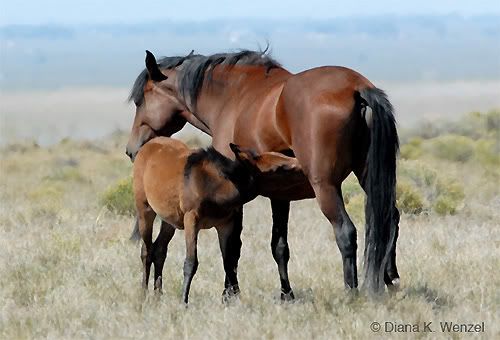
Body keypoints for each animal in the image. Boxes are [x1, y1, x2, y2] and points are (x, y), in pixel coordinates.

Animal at [132, 136, 300, 302]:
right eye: (280, 168)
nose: (298, 163)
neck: (214, 185)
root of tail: (145, 147)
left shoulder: (224, 225)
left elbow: (229, 262)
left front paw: (235, 299)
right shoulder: (191, 220)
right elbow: (191, 262)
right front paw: (184, 302)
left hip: (169, 220)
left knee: (159, 250)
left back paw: (158, 295)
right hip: (145, 210)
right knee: (146, 251)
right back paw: (143, 294)